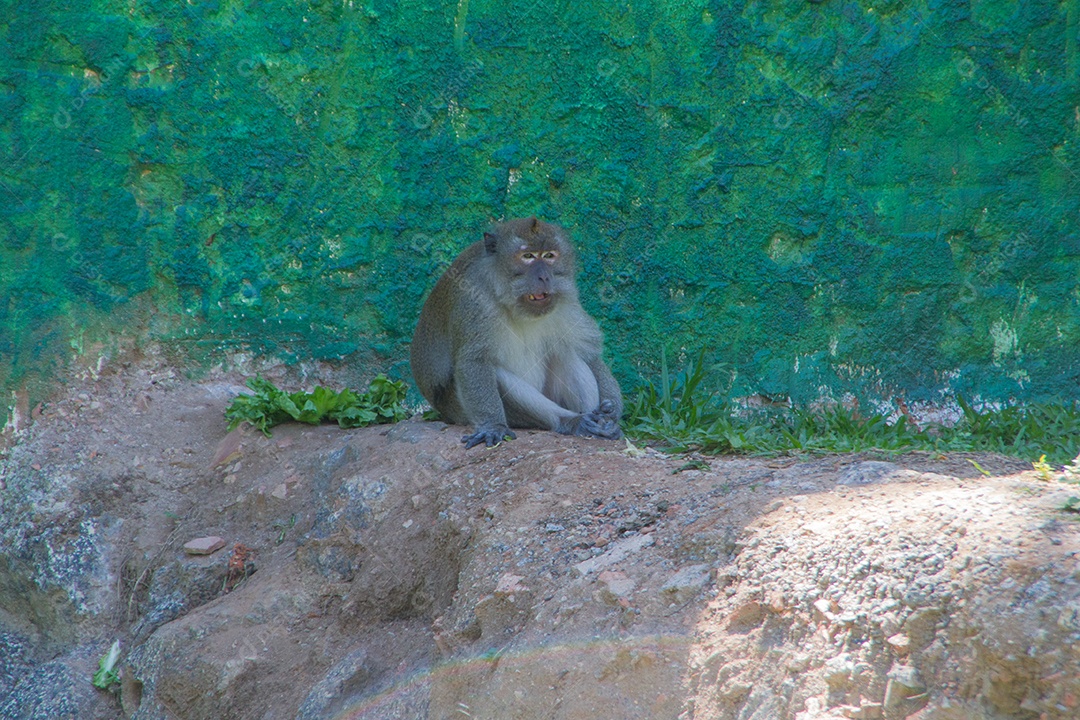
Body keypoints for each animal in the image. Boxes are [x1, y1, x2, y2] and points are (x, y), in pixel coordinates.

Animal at [410, 216, 623, 449]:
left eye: (549, 256)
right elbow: (474, 361)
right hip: (457, 408)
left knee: (567, 353)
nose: (544, 277)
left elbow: (588, 353)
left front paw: (612, 415)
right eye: (528, 256)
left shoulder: (567, 302)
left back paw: (597, 421)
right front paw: (493, 426)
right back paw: (572, 421)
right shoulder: (474, 302)